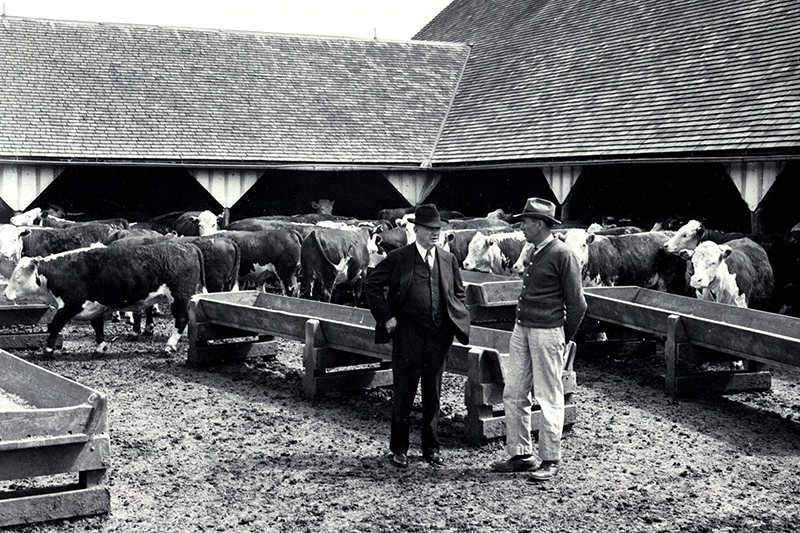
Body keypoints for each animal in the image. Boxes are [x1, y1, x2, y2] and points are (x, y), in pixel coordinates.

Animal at [3, 242, 203, 354]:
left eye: (18, 277)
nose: (5, 294)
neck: (59, 272)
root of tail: (188, 246)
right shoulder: (94, 307)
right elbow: (97, 326)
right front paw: (100, 347)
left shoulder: (70, 305)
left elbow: (56, 324)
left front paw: (48, 349)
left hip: (179, 297)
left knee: (181, 320)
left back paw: (170, 346)